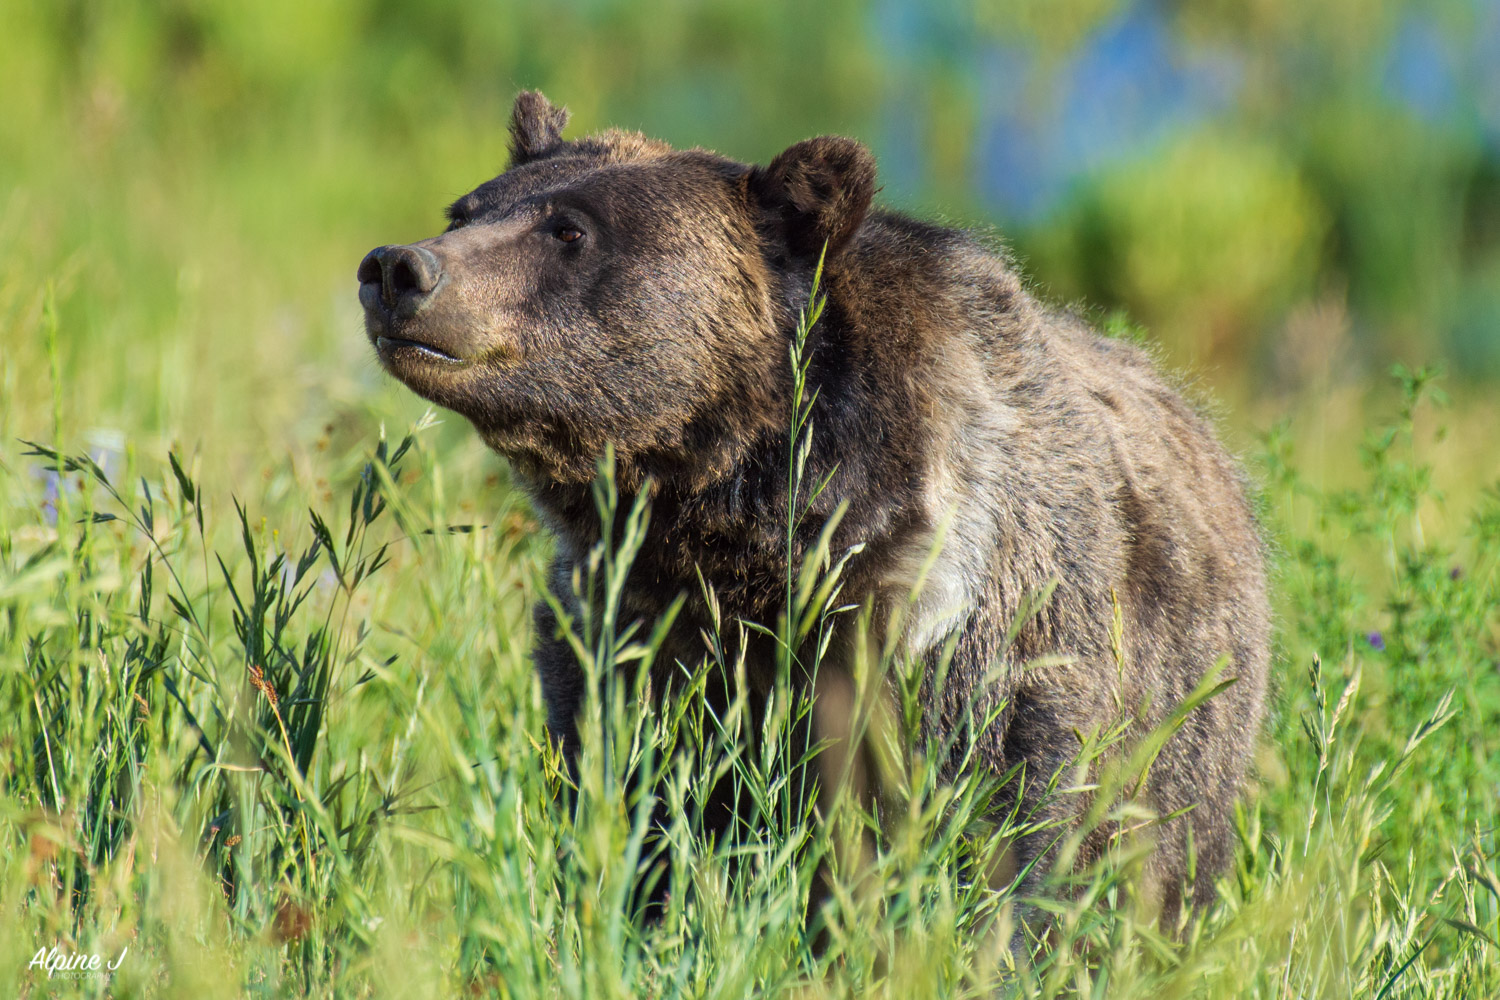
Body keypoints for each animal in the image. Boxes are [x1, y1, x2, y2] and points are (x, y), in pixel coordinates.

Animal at [357, 89, 1272, 929]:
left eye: (570, 231)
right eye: (466, 208)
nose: (398, 268)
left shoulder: (975, 639)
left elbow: (1005, 827)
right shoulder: (625, 628)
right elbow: (634, 801)